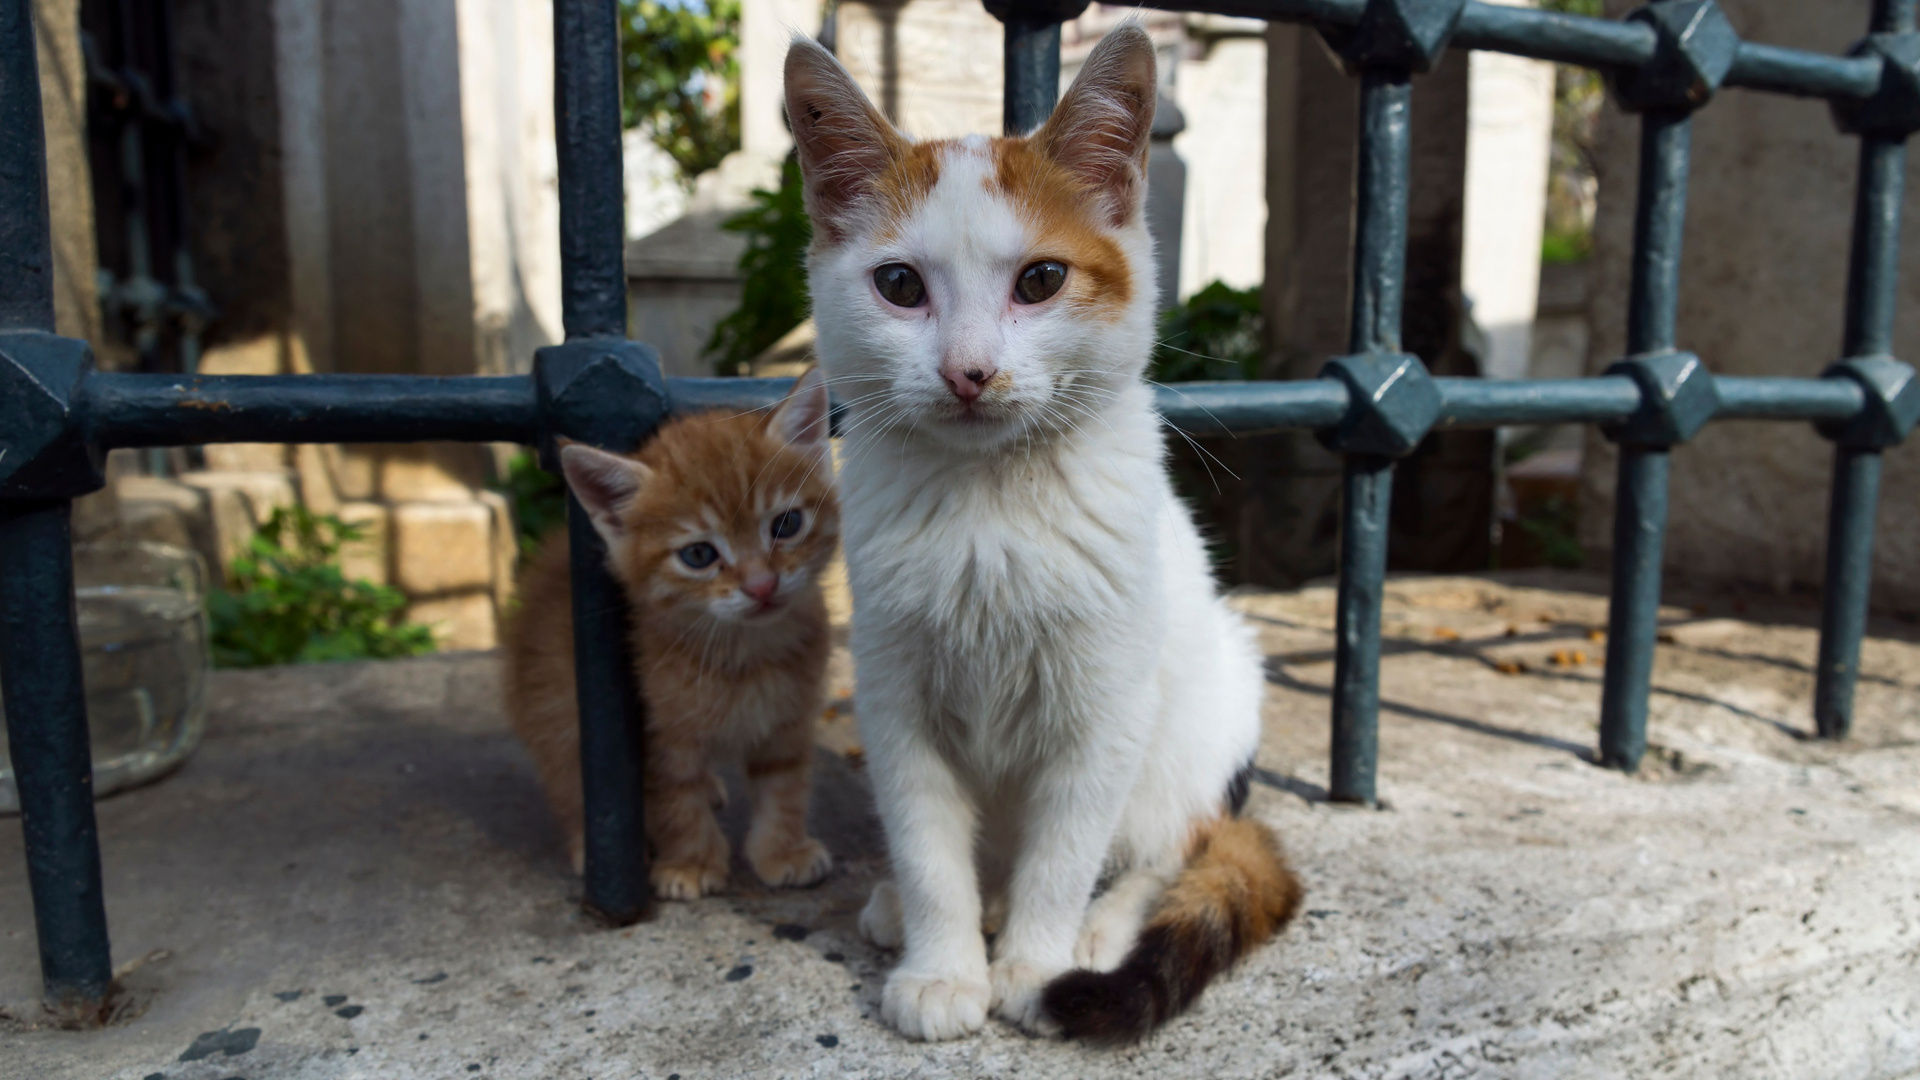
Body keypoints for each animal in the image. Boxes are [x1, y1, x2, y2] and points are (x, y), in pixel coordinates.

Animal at [504, 370, 840, 901]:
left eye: (786, 524)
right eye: (698, 555)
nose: (761, 586)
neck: (744, 656)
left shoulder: (789, 722)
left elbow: (784, 786)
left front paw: (783, 850)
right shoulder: (652, 735)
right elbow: (675, 799)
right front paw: (692, 863)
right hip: (554, 705)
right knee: (568, 780)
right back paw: (588, 847)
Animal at [784, 26, 1302, 1043]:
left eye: (1042, 280)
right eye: (898, 285)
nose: (969, 371)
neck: (989, 506)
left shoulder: (1105, 711)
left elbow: (1064, 853)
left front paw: (1032, 963)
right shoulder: (894, 697)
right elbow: (927, 842)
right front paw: (942, 965)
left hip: (1201, 719)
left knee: (1168, 847)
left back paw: (1100, 931)